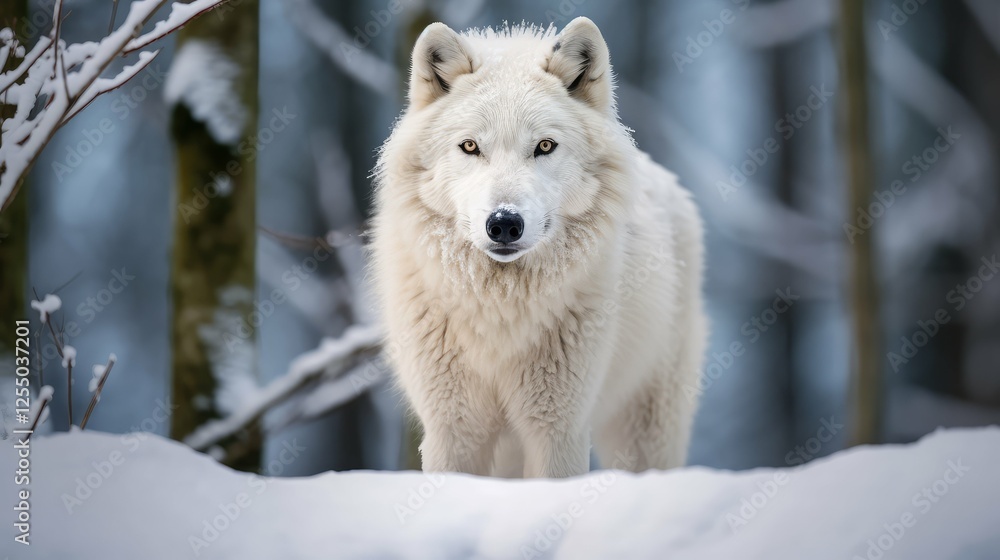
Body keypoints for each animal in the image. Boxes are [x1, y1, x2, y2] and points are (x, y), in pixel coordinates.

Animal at [370, 17, 706, 478]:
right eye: (470, 146)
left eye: (544, 146)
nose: (504, 224)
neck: (500, 311)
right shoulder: (452, 429)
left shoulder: (558, 428)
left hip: (645, 430)